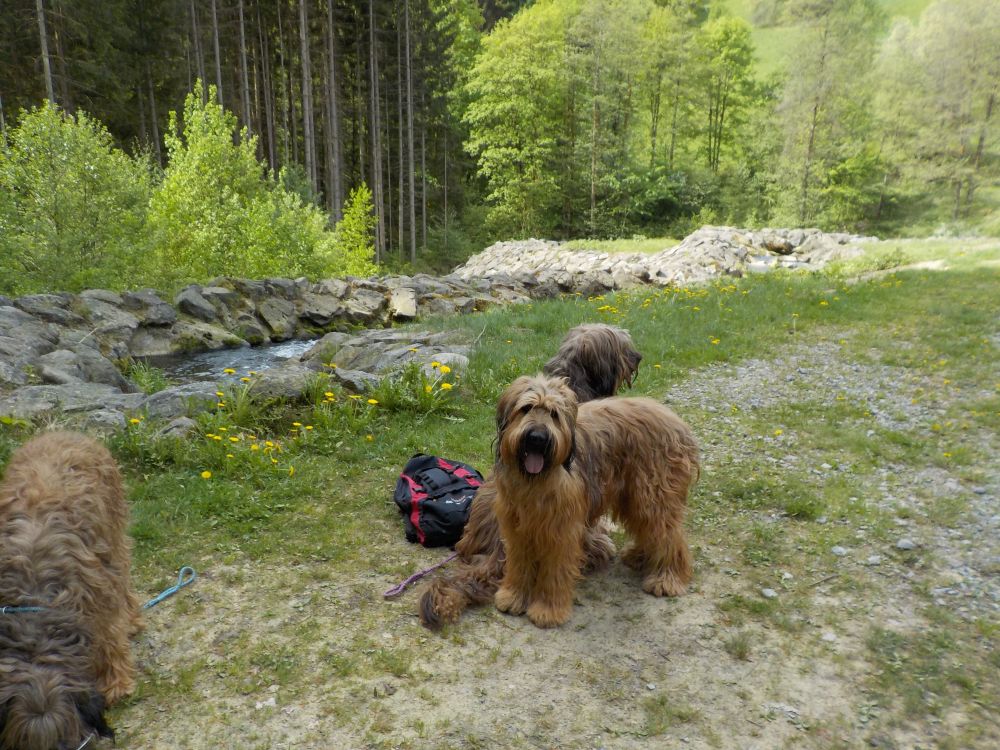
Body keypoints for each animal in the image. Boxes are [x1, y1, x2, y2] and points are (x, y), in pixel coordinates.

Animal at [0, 431, 142, 750]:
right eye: (23, 742)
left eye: (63, 737)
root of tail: (61, 431)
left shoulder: (97, 596)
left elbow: (110, 638)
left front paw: (117, 684)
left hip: (113, 535)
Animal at [493, 374, 698, 628]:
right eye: (526, 408)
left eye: (554, 414)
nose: (537, 439)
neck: (536, 479)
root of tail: (680, 425)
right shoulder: (517, 525)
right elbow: (519, 562)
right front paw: (513, 596)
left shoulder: (561, 529)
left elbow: (555, 569)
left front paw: (548, 610)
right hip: (634, 496)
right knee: (649, 529)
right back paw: (640, 557)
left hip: (654, 495)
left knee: (669, 536)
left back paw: (667, 579)